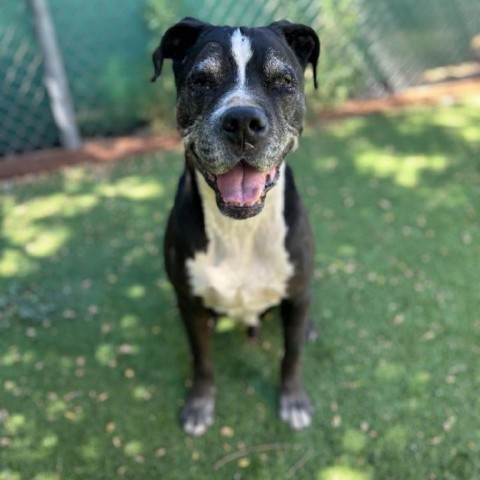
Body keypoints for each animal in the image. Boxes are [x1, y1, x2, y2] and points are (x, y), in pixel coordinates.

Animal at [152, 16, 320, 436]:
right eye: (201, 80)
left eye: (283, 81)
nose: (242, 121)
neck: (242, 230)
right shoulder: (190, 304)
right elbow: (202, 360)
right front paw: (199, 404)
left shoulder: (297, 292)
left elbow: (292, 353)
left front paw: (293, 399)